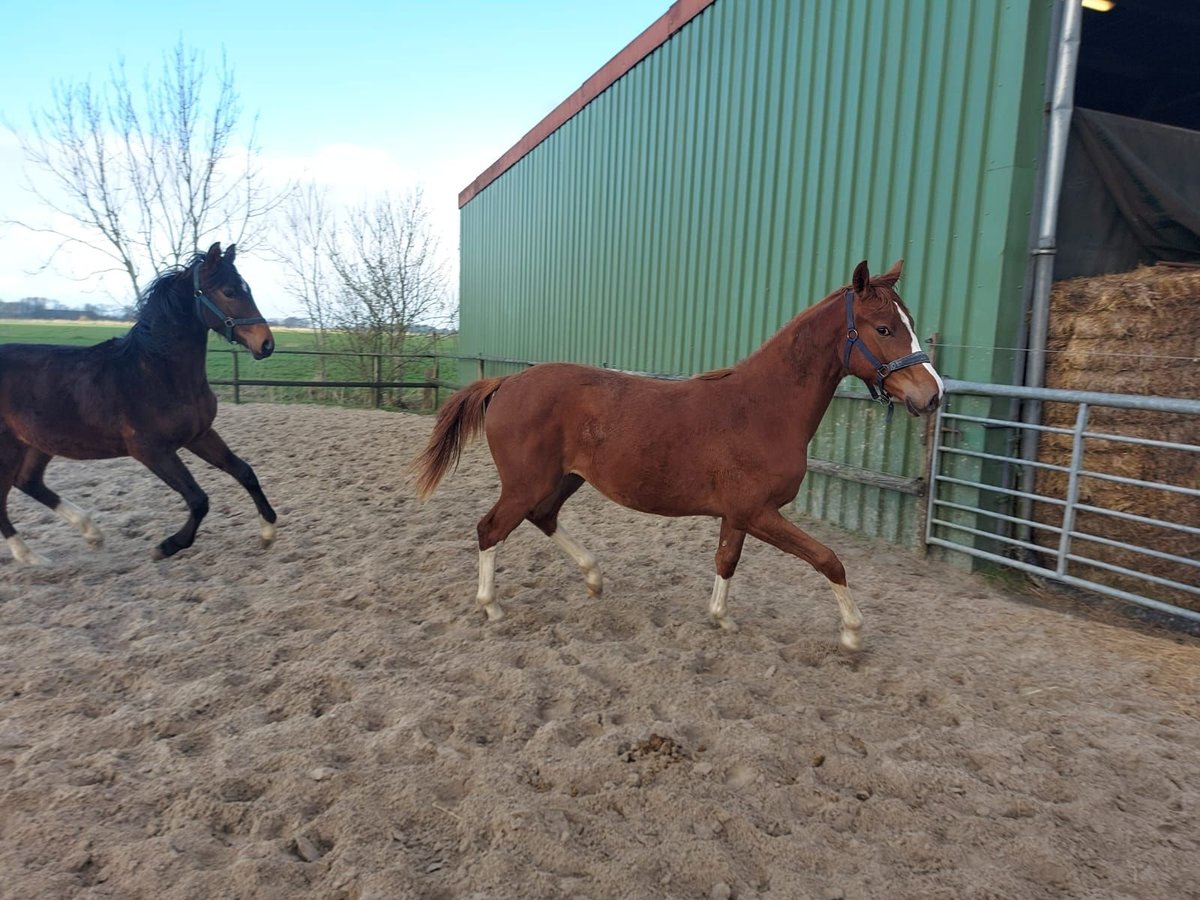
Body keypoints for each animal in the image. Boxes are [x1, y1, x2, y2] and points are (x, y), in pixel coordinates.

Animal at [1, 240, 276, 564]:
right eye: (229, 291)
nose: (266, 344)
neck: (156, 372)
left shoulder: (199, 435)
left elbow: (245, 472)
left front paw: (268, 532)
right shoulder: (150, 450)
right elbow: (198, 499)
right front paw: (167, 546)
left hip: (38, 443)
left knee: (29, 482)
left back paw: (90, 533)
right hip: (9, 447)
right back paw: (30, 557)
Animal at [415, 259, 945, 648]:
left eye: (911, 324)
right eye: (883, 328)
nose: (933, 394)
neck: (764, 408)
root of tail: (505, 383)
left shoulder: (739, 515)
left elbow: (726, 561)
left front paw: (721, 618)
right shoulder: (759, 512)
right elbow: (829, 559)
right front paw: (853, 634)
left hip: (564, 479)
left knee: (541, 518)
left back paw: (593, 578)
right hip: (527, 483)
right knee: (491, 529)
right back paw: (492, 605)